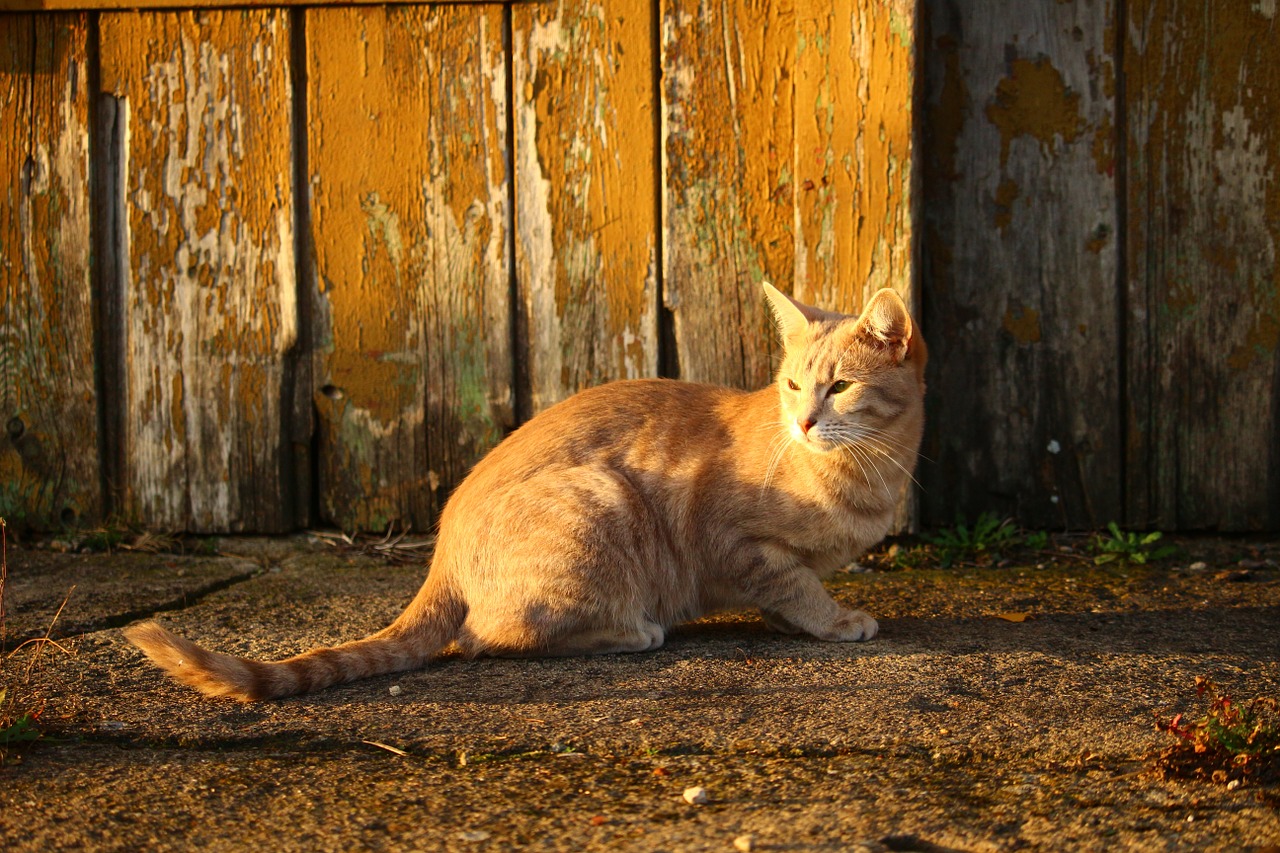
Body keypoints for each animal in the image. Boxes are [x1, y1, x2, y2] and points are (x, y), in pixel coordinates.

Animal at [124, 280, 926, 696]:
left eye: (839, 386)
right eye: (792, 385)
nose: (804, 420)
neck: (865, 470)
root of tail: (441, 548)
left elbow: (789, 593)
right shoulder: (737, 543)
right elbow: (796, 584)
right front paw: (833, 619)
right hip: (600, 498)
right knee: (486, 636)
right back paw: (629, 630)